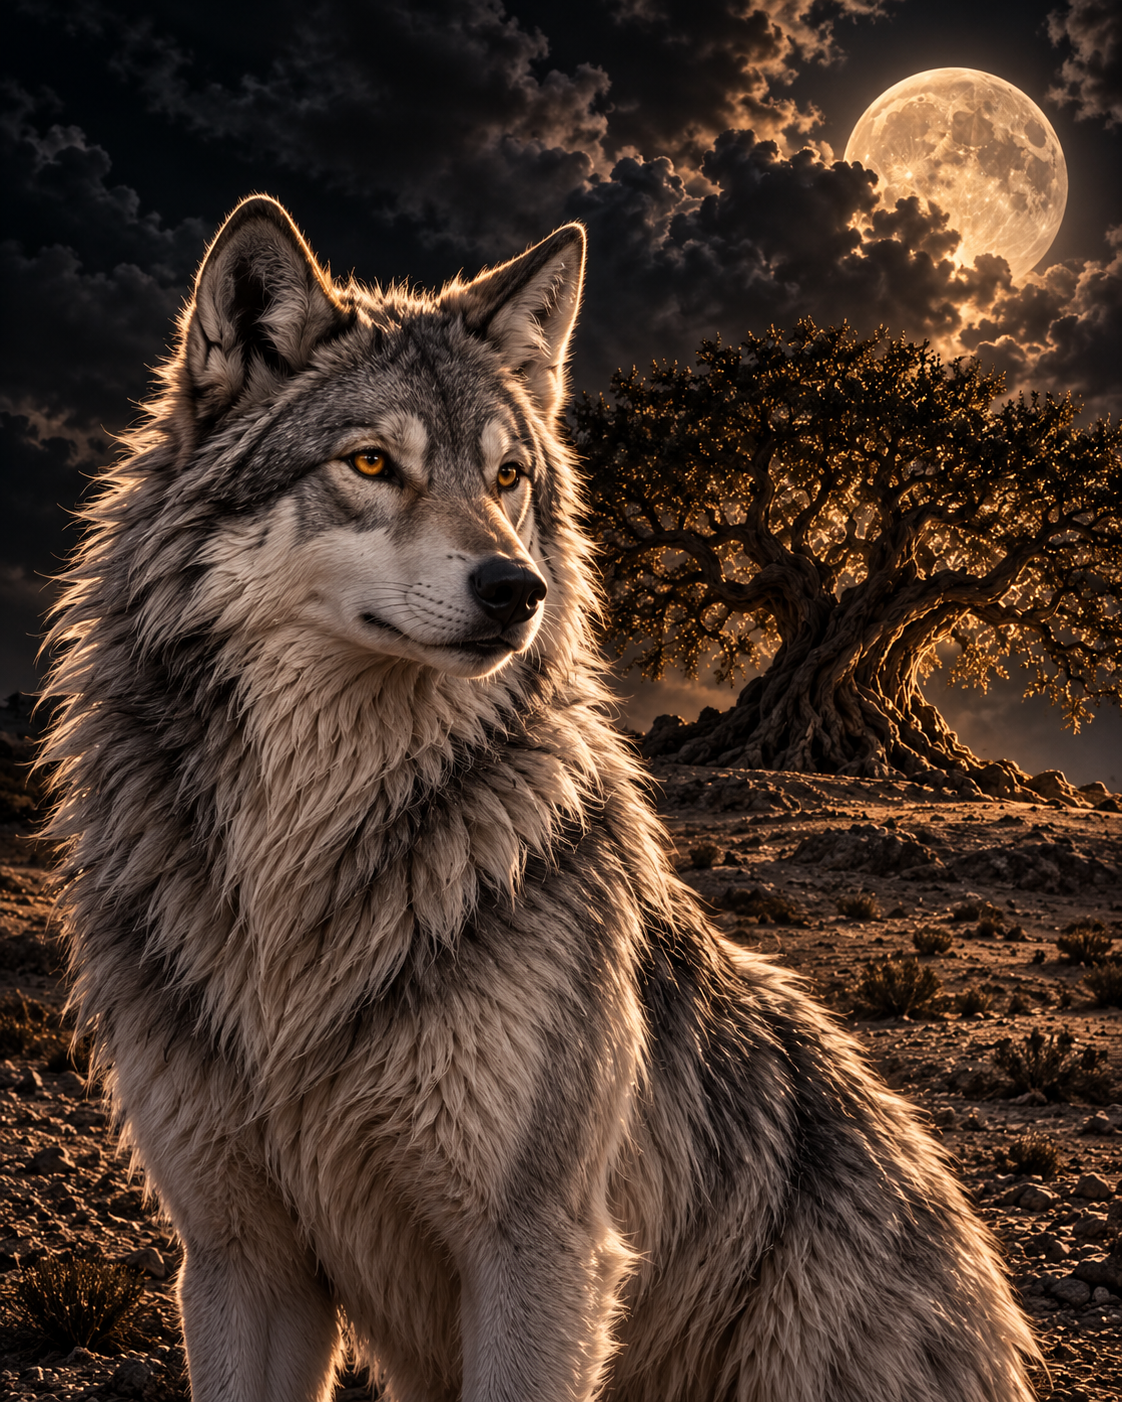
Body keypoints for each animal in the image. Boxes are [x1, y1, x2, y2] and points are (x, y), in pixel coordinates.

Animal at [44, 195, 1038, 1402]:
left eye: (510, 476)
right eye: (371, 462)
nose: (516, 588)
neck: (304, 844)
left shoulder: (541, 1250)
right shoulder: (239, 1256)